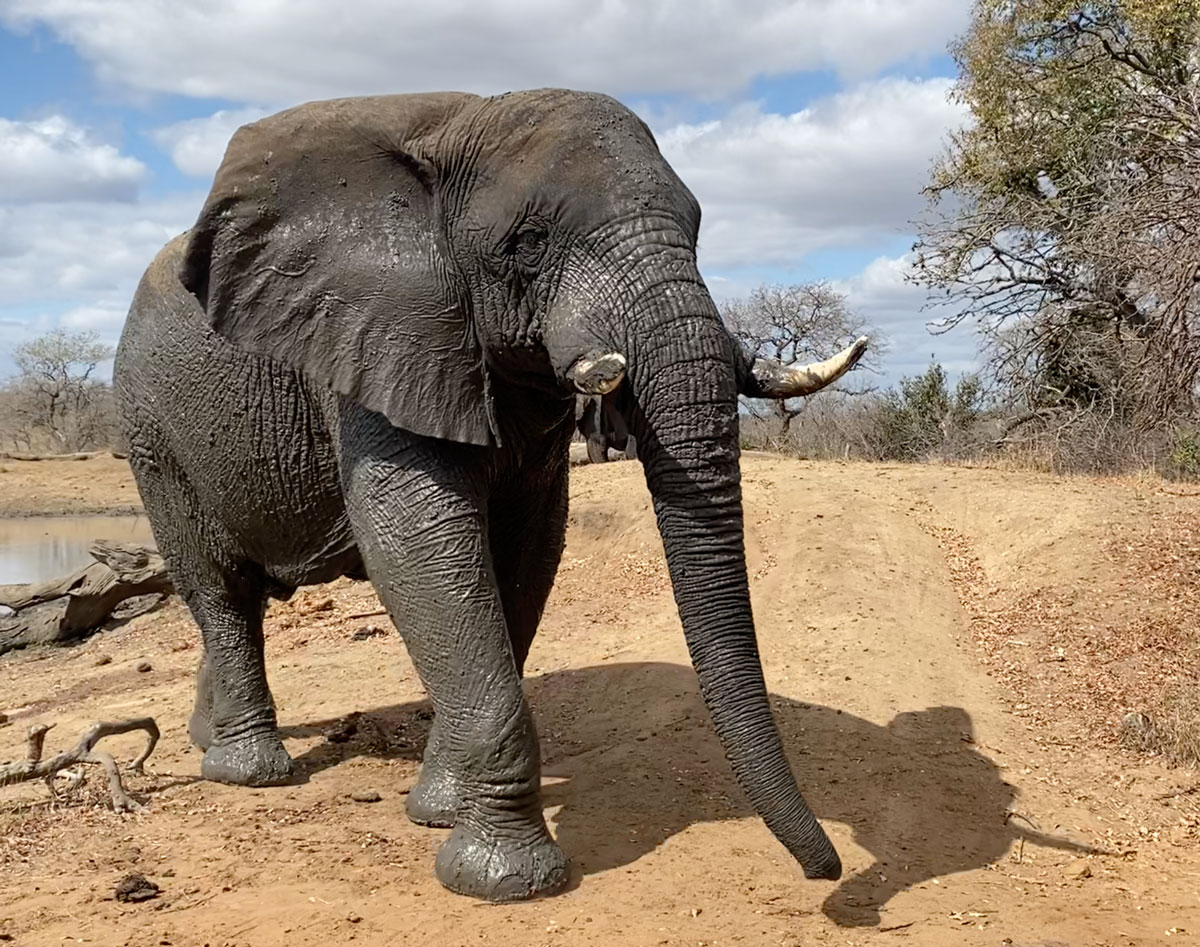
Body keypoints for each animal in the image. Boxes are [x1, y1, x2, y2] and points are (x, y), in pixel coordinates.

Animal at [112, 90, 868, 902]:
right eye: (528, 243)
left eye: (697, 229)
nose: (825, 870)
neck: (457, 123)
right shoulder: (377, 333)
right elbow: (415, 537)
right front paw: (504, 879)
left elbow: (526, 547)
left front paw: (439, 812)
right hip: (151, 433)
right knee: (219, 590)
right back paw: (250, 772)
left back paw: (207, 737)